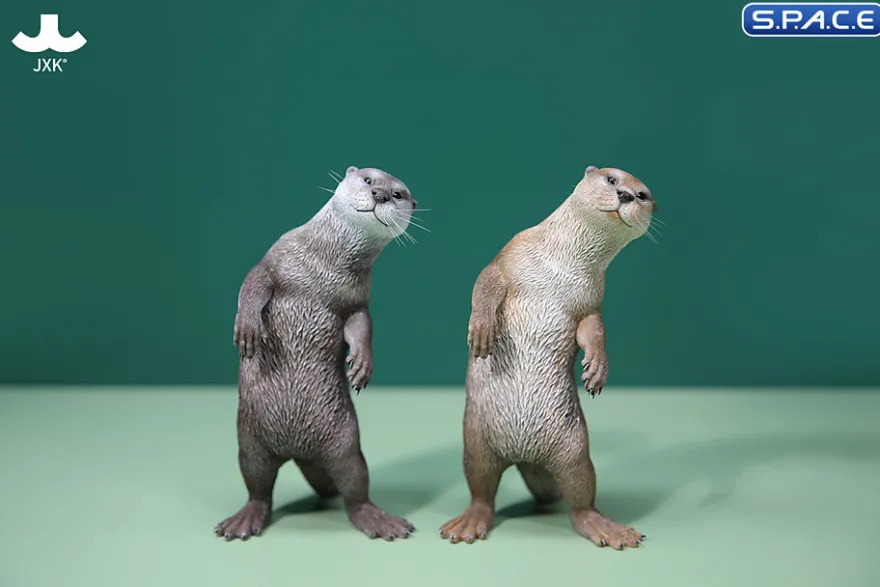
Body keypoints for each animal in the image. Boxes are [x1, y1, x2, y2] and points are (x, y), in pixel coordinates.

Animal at [215, 166, 418, 541]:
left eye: (398, 194)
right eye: (368, 179)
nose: (381, 195)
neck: (324, 269)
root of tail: (298, 451)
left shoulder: (357, 299)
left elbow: (361, 326)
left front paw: (362, 364)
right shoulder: (276, 258)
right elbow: (252, 283)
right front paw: (247, 328)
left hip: (345, 443)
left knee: (355, 485)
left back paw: (378, 519)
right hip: (250, 442)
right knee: (257, 486)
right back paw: (245, 519)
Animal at [440, 165, 656, 549]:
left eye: (643, 194)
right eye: (612, 179)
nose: (627, 195)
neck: (561, 266)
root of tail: (524, 455)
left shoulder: (592, 298)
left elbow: (594, 329)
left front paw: (597, 368)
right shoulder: (509, 255)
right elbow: (485, 282)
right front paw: (480, 330)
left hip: (573, 447)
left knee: (582, 495)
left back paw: (607, 528)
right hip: (477, 442)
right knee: (481, 490)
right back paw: (468, 523)